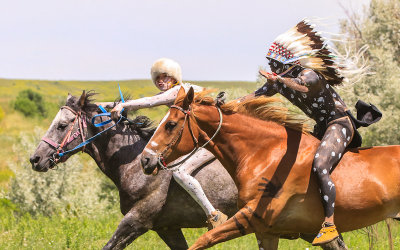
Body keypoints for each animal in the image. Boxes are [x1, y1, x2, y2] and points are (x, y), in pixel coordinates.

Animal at [140, 87, 400, 249]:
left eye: (171, 125)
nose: (145, 160)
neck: (266, 154)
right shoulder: (266, 232)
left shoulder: (249, 218)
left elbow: (201, 241)